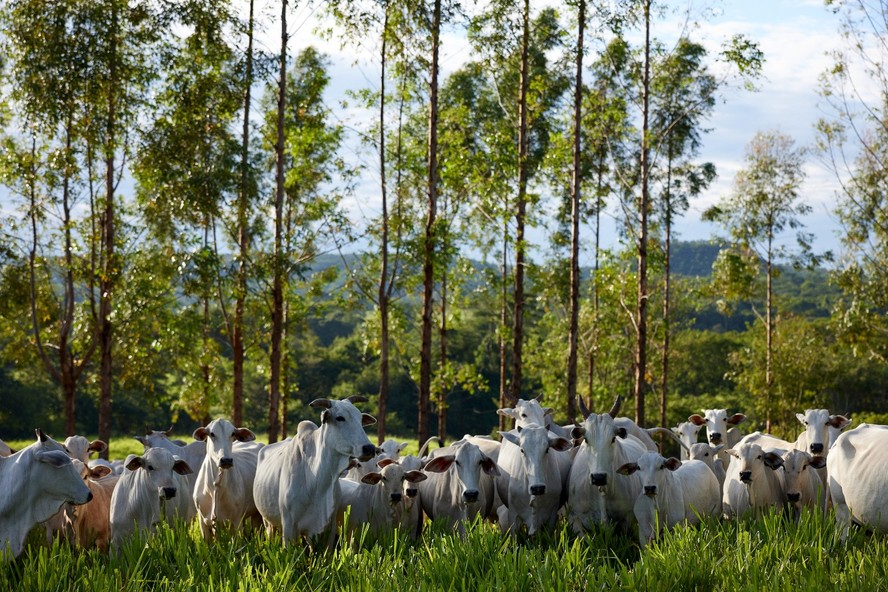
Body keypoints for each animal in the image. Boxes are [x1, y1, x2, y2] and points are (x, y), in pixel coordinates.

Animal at [253, 396, 374, 544]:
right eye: (340, 418)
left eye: (360, 419)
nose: (369, 448)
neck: (317, 480)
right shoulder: (289, 526)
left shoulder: (327, 527)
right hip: (268, 522)